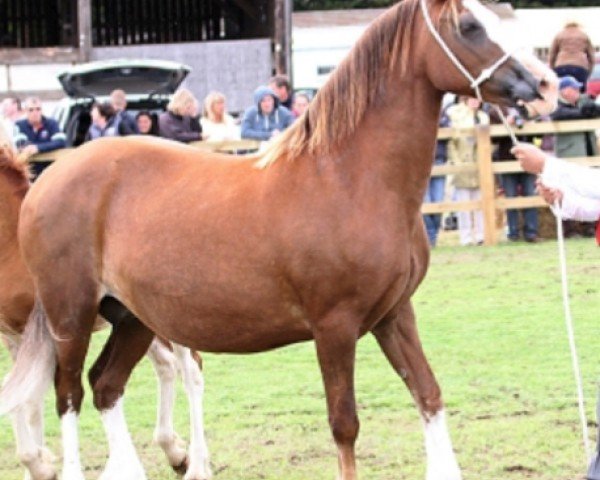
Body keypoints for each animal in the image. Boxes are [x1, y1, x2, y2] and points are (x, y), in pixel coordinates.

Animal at [0, 148, 211, 478]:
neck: (11, 243)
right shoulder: (12, 336)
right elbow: (20, 394)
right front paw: (38, 463)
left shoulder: (36, 334)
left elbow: (28, 398)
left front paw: (39, 464)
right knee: (167, 366)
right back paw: (175, 452)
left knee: (190, 371)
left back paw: (193, 460)